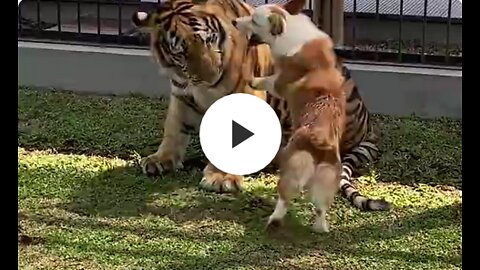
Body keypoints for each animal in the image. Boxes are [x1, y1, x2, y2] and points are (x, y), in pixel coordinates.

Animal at [131, 0, 390, 212]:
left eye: (207, 40)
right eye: (180, 53)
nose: (211, 77)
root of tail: (369, 128)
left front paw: (221, 177)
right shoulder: (182, 93)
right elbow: (174, 128)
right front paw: (160, 159)